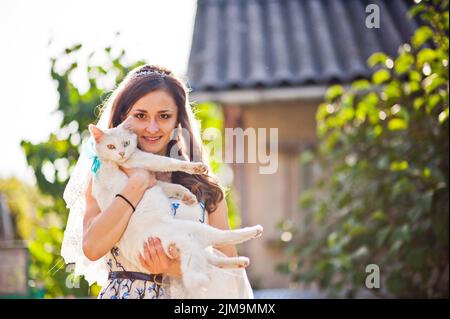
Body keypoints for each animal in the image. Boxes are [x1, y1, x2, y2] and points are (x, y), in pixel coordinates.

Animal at [88, 119, 264, 292]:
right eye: (111, 146)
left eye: (126, 143)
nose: (121, 153)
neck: (108, 161)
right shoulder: (143, 161)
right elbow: (170, 163)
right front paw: (196, 167)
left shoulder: (151, 180)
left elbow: (169, 186)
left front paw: (187, 195)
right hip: (195, 230)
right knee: (224, 238)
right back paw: (254, 231)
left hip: (197, 244)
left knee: (213, 260)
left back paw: (240, 262)